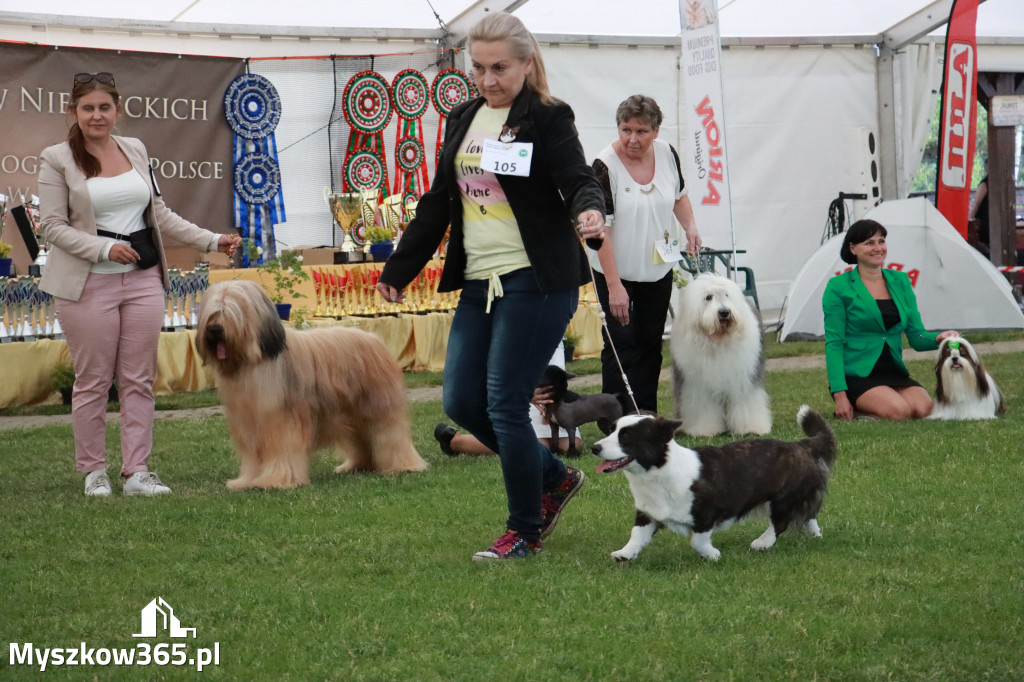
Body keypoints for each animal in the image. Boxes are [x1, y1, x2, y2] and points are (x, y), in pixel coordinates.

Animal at [197, 278, 425, 485]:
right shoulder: (249, 424)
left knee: (390, 433)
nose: (214, 329)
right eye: (213, 310)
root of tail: (373, 338)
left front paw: (275, 480)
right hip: (350, 412)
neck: (253, 362)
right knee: (360, 439)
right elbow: (253, 458)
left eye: (233, 309)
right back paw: (357, 466)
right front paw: (246, 481)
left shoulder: (280, 422)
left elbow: (282, 449)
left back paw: (403, 465)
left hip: (378, 407)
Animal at [667, 272, 770, 436]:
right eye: (708, 297)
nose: (724, 312)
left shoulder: (742, 378)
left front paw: (750, 428)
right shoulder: (697, 385)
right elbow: (703, 406)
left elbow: (746, 402)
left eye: (726, 295)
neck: (718, 341)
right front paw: (704, 430)